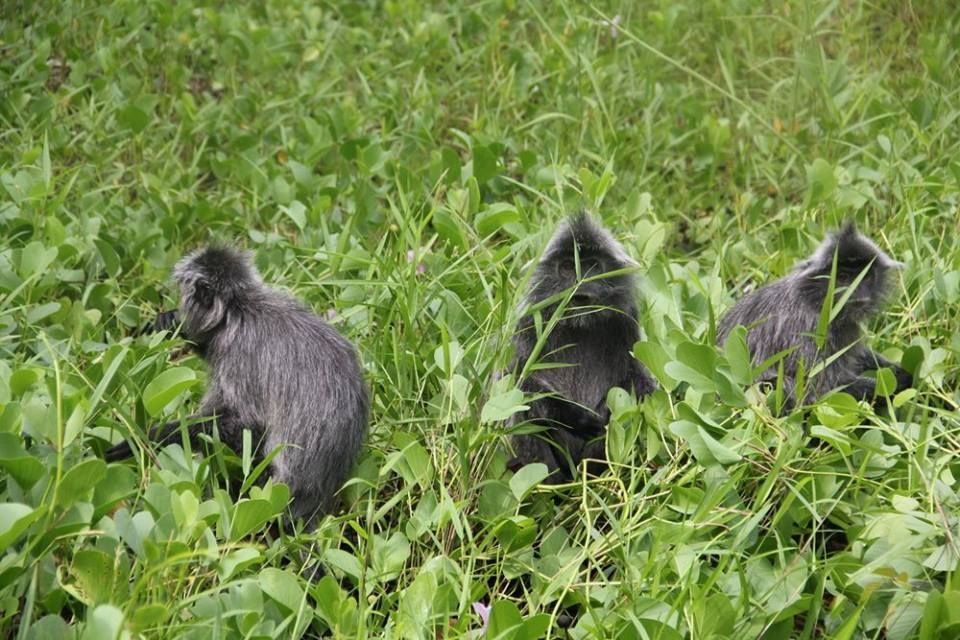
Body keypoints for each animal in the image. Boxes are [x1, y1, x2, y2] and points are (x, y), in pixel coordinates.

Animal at [105, 244, 368, 520]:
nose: (181, 306)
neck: (239, 309)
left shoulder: (239, 353)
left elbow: (250, 423)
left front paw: (153, 436)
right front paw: (172, 321)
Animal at [506, 212, 656, 482]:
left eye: (593, 267)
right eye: (567, 267)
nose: (580, 286)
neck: (580, 322)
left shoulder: (625, 319)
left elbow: (636, 380)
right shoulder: (529, 321)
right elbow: (521, 383)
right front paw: (578, 419)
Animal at [716, 222, 912, 408]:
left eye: (865, 277)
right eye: (842, 277)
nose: (856, 291)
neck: (816, 300)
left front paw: (899, 372)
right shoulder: (808, 330)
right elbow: (819, 392)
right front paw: (900, 383)